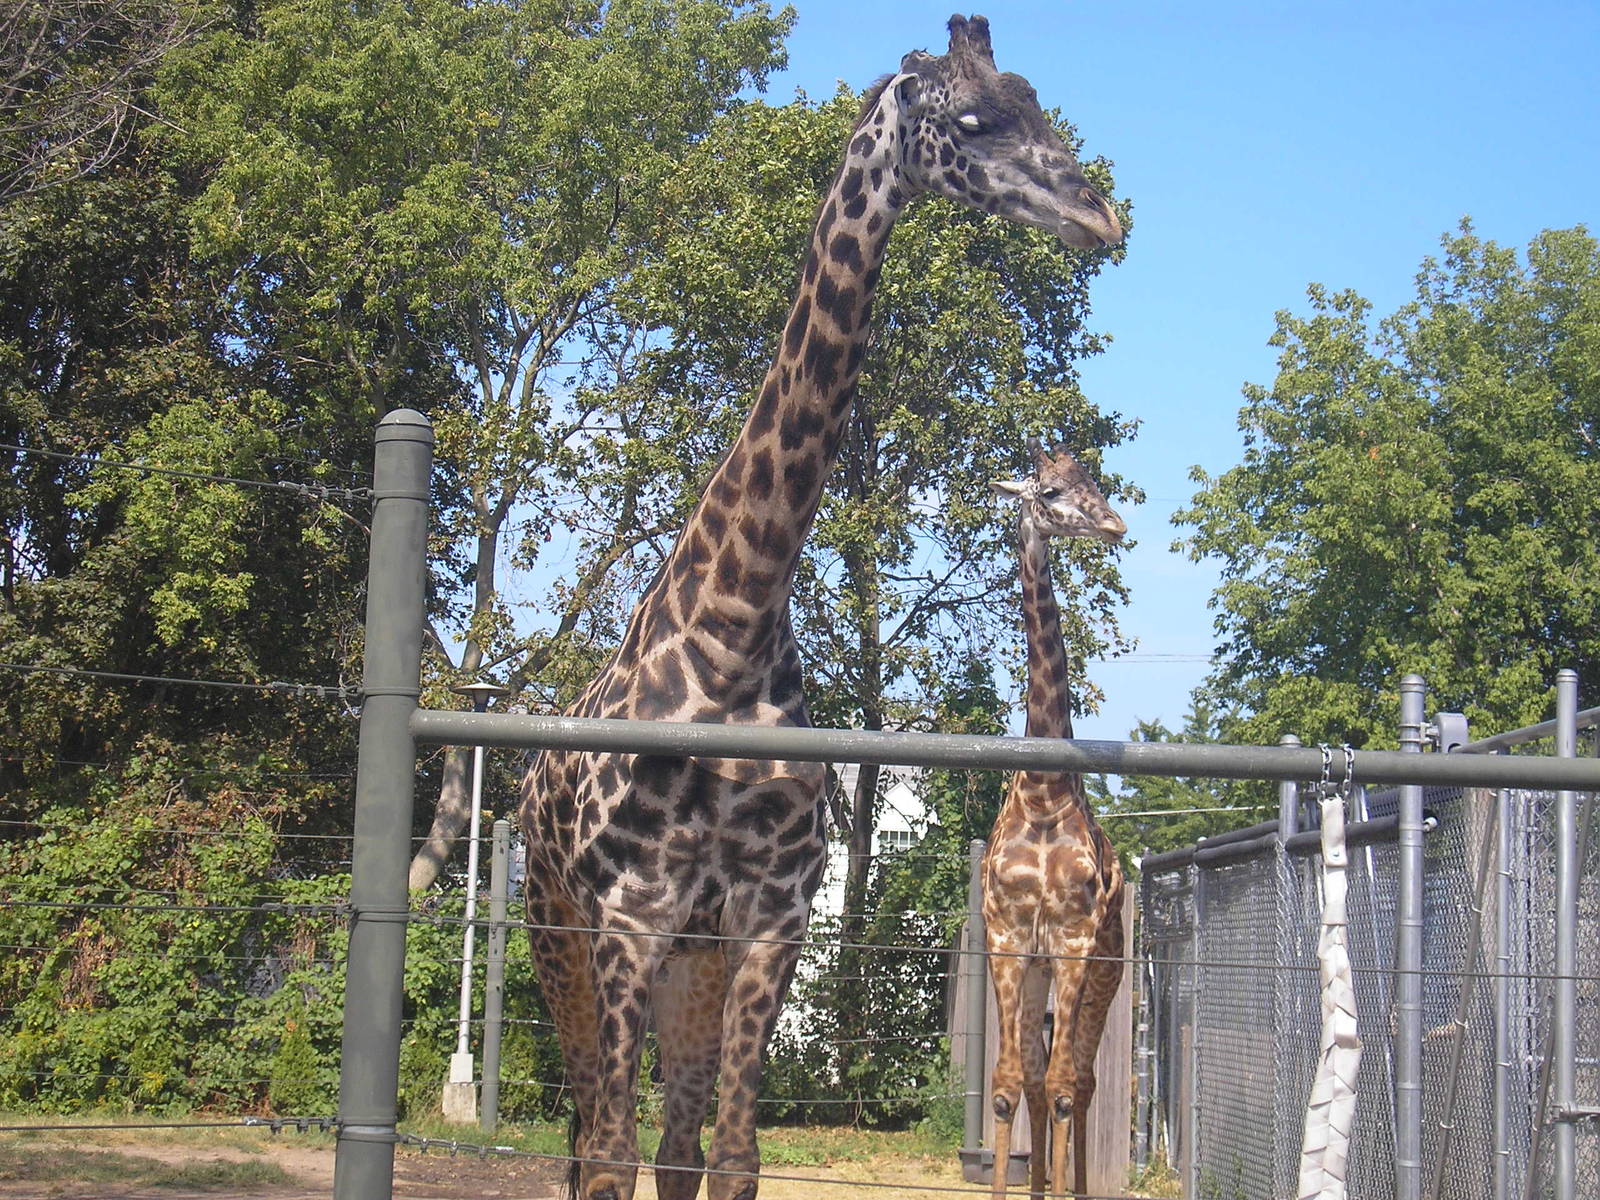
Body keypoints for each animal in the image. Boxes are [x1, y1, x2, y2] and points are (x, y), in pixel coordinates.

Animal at [517, 18, 1123, 1200]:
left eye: (1037, 98)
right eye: (975, 117)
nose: (1101, 213)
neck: (732, 629)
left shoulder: (766, 924)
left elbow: (733, 1161)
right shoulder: (626, 918)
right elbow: (609, 1155)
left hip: (691, 970)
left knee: (672, 1140)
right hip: (556, 932)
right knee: (586, 1136)